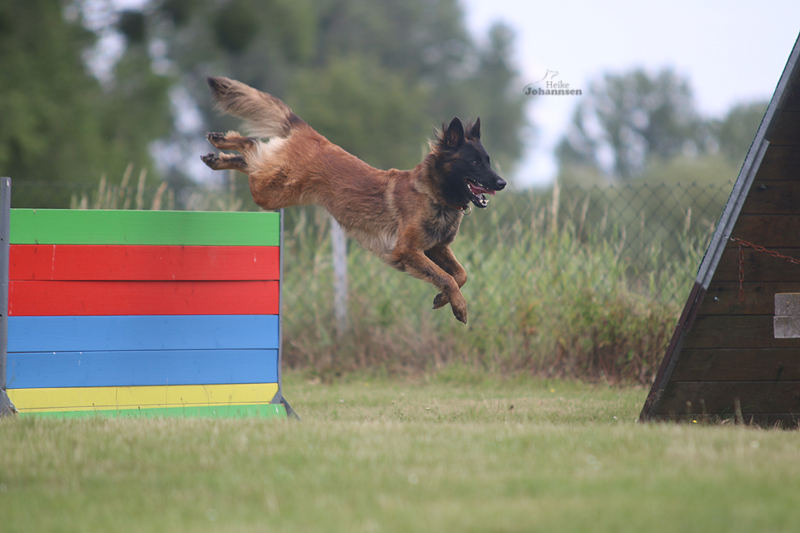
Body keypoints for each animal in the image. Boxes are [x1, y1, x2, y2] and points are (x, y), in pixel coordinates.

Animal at [201, 76, 506, 323]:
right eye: (474, 162)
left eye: (488, 160)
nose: (502, 183)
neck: (433, 194)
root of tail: (312, 134)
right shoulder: (408, 251)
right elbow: (447, 277)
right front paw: (458, 306)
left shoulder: (435, 248)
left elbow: (460, 274)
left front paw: (443, 298)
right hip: (269, 192)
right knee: (252, 147)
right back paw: (222, 141)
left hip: (273, 187)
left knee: (252, 158)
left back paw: (218, 157)